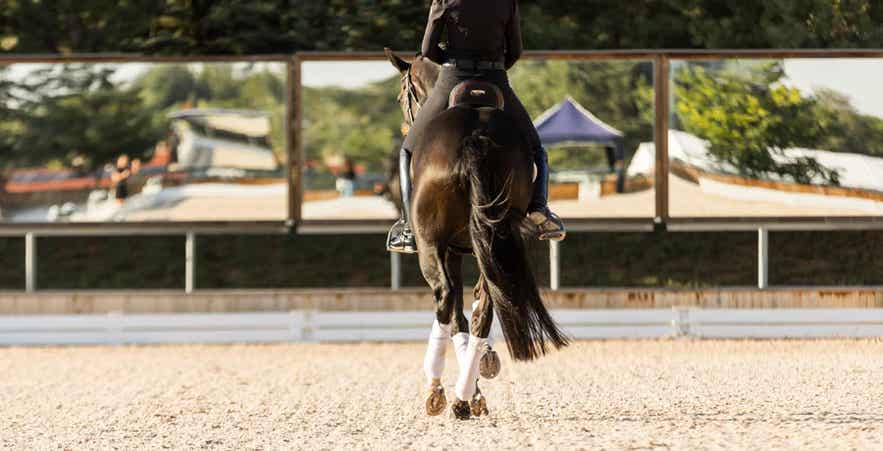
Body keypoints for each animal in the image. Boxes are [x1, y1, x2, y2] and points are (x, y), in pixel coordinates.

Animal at [384, 49, 569, 420]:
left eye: (401, 96)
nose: (405, 122)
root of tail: (475, 135)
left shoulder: (449, 251)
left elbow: (457, 316)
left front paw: (467, 391)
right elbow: (475, 311)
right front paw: (481, 376)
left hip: (433, 244)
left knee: (446, 300)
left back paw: (439, 391)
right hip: (496, 238)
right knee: (488, 305)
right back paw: (467, 386)